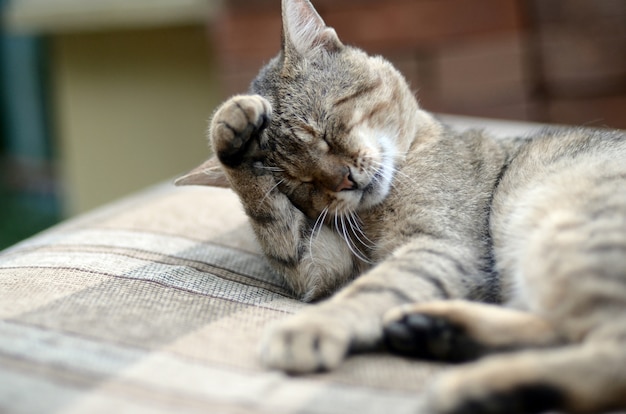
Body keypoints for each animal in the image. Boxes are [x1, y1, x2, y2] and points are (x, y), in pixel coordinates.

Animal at [176, 0, 624, 414]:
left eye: (323, 130)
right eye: (299, 183)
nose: (344, 180)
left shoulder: (440, 243)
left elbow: (375, 287)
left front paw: (312, 326)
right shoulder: (322, 265)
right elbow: (273, 219)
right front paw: (233, 138)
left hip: (568, 232)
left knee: (605, 352)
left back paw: (471, 383)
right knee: (569, 334)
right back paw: (437, 331)